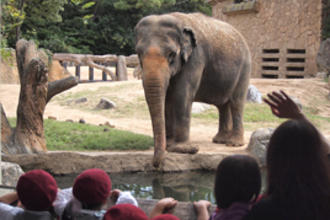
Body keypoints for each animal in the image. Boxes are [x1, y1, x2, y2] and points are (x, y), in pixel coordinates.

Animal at [135, 12, 251, 167]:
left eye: (172, 54)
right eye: (138, 54)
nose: (155, 164)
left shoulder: (195, 58)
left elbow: (181, 95)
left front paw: (181, 148)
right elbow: (168, 98)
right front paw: (171, 145)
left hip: (245, 68)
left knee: (236, 103)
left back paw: (233, 144)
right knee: (223, 105)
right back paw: (220, 140)